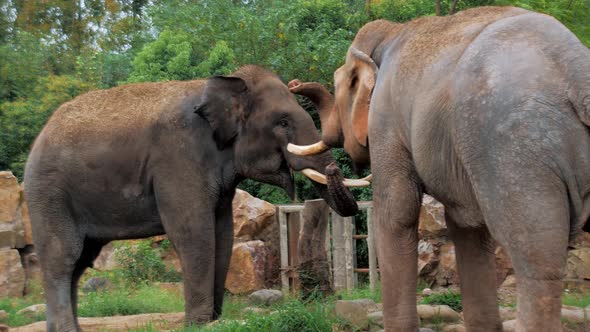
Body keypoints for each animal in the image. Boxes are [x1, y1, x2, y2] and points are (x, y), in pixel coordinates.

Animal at [25, 65, 368, 332]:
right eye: (282, 122)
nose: (335, 166)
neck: (226, 84)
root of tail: (40, 134)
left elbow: (223, 233)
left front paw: (214, 319)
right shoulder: (177, 158)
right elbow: (194, 232)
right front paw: (201, 322)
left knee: (80, 261)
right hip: (48, 194)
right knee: (63, 257)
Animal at [290, 5, 590, 332]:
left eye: (339, 85)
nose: (293, 84)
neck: (391, 31)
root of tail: (576, 71)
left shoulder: (385, 120)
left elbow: (397, 213)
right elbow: (468, 226)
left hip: (517, 150)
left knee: (537, 260)